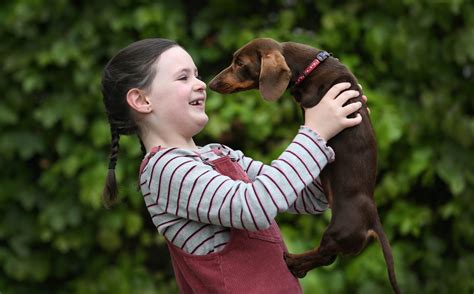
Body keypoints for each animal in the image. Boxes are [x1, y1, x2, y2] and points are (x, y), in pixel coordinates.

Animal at [210, 38, 400, 292]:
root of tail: (373, 220)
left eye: (240, 64)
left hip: (338, 230)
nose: (211, 83)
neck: (313, 66)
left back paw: (293, 262)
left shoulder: (311, 97)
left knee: (325, 255)